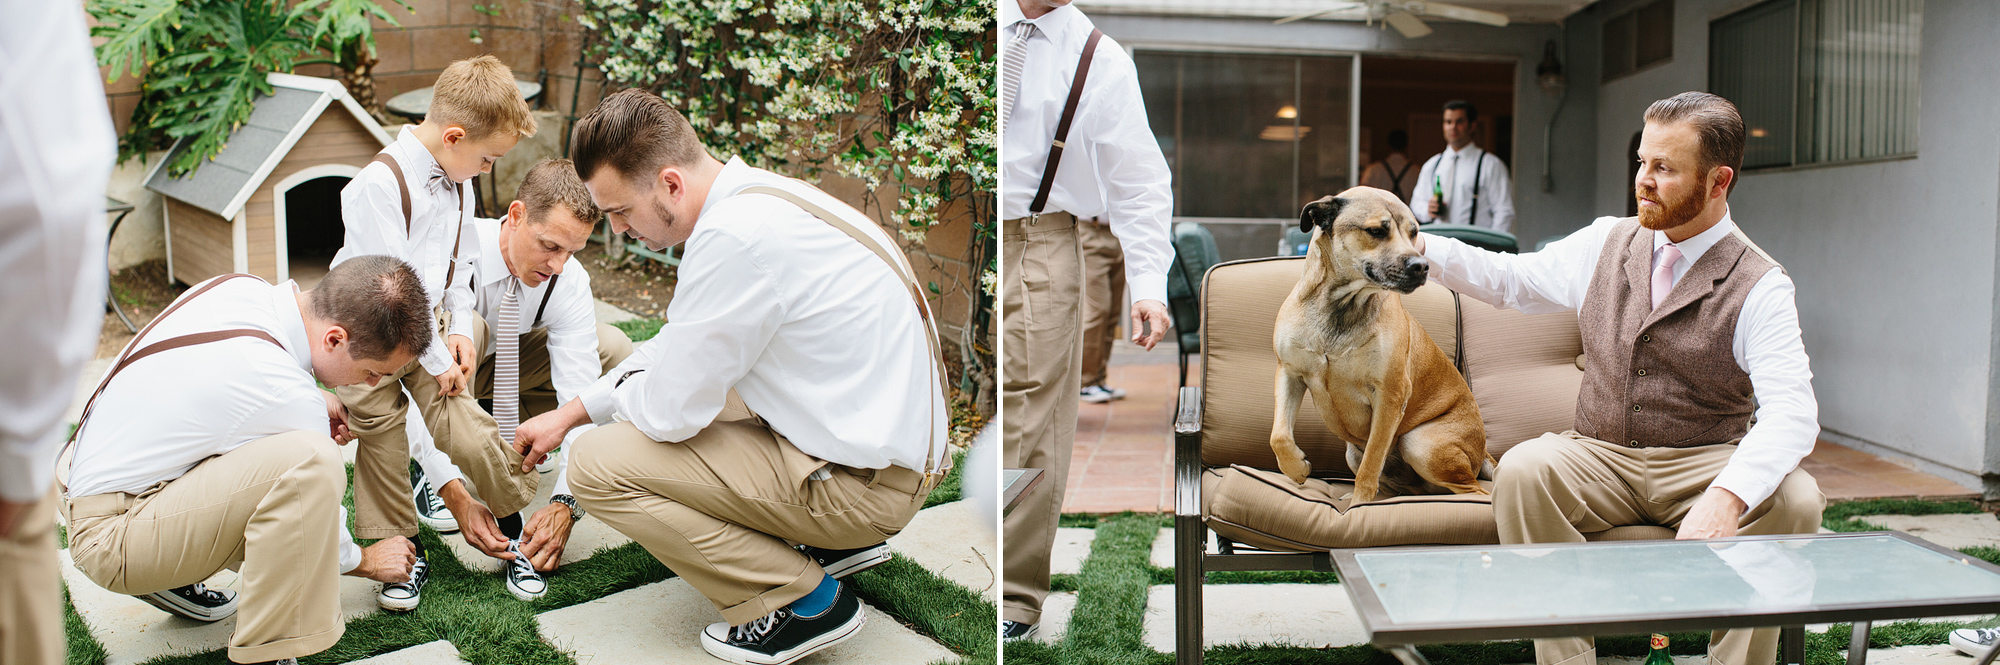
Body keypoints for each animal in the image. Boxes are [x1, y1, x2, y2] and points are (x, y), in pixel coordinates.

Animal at [1264, 184, 1488, 500]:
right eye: (1376, 231)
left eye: (1414, 232)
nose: (1421, 265)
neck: (1341, 305)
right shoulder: (1289, 372)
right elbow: (1279, 435)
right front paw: (1296, 467)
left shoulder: (1389, 396)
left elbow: (1371, 465)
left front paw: (1359, 504)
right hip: (1354, 452)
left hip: (1420, 443)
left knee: (1476, 492)